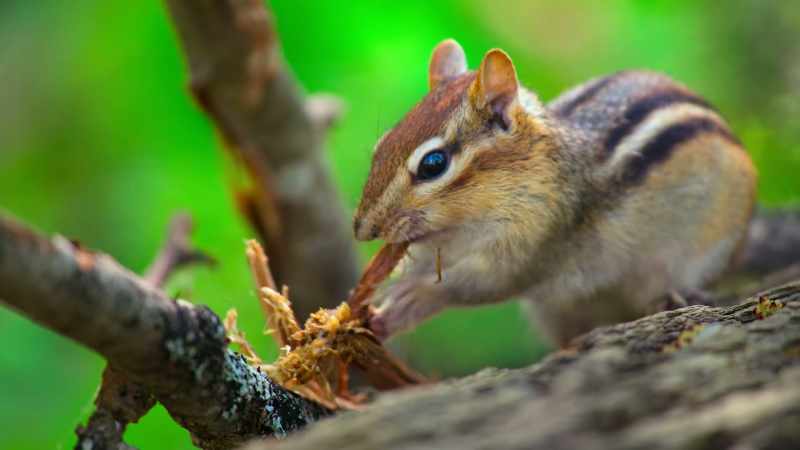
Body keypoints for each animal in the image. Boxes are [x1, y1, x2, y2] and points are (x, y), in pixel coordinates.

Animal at [353, 39, 757, 346]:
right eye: (381, 146)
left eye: (433, 164)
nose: (363, 229)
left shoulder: (539, 240)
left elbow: (484, 284)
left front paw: (413, 298)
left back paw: (672, 294)